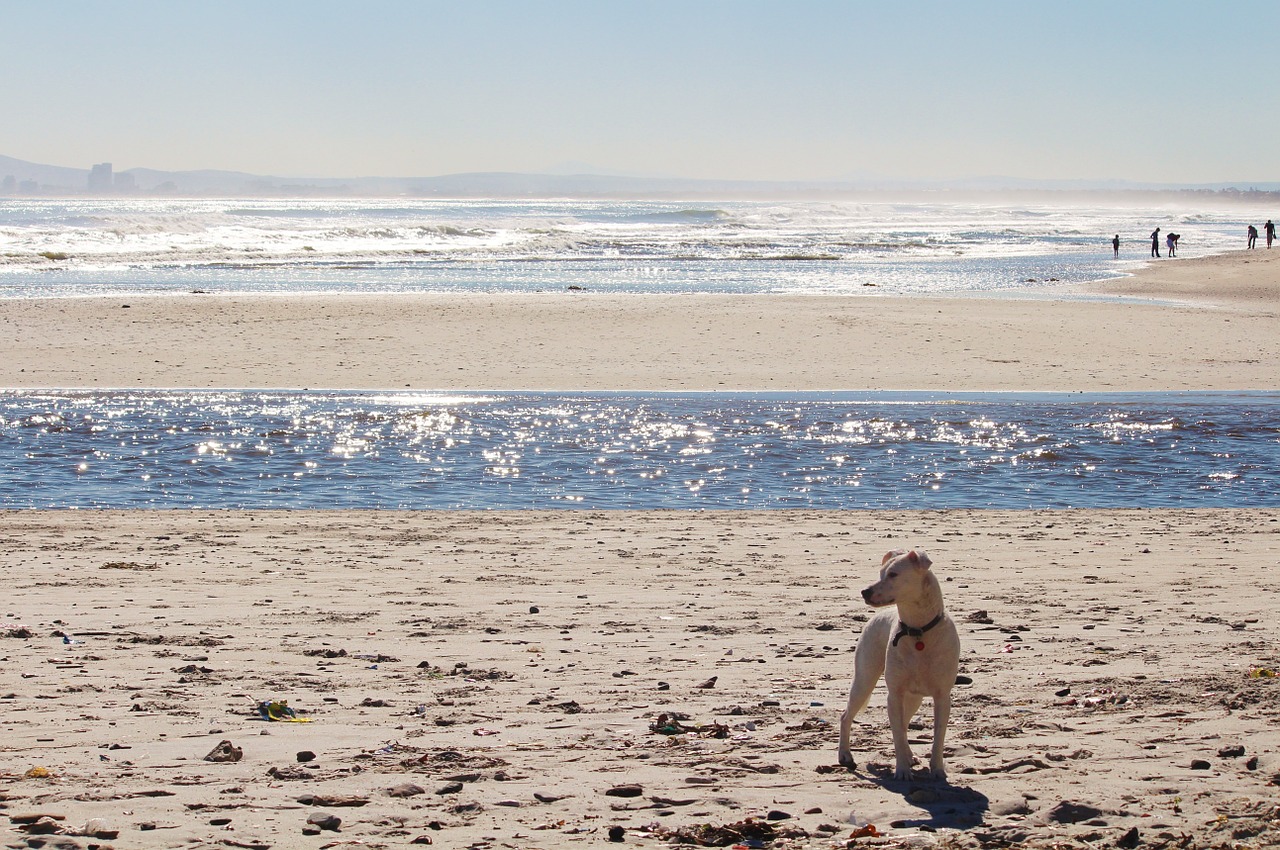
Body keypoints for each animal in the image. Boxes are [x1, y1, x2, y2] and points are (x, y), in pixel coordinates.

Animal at [839, 547, 962, 778]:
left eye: (893, 574)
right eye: (880, 573)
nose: (865, 592)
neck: (918, 631)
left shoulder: (943, 696)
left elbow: (938, 735)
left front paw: (937, 770)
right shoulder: (894, 694)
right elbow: (896, 733)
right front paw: (902, 770)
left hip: (913, 698)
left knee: (905, 724)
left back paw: (909, 755)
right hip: (864, 679)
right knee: (846, 716)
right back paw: (845, 755)